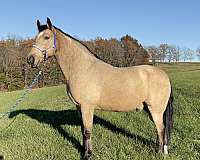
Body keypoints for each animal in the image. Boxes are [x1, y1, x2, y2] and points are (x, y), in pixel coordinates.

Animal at [27, 18, 173, 159]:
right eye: (36, 37)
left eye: (46, 37)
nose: (30, 59)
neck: (82, 67)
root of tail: (164, 75)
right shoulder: (79, 107)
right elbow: (83, 131)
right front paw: (84, 151)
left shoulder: (87, 107)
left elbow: (87, 132)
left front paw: (87, 155)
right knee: (159, 130)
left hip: (156, 110)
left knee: (161, 129)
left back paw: (160, 153)